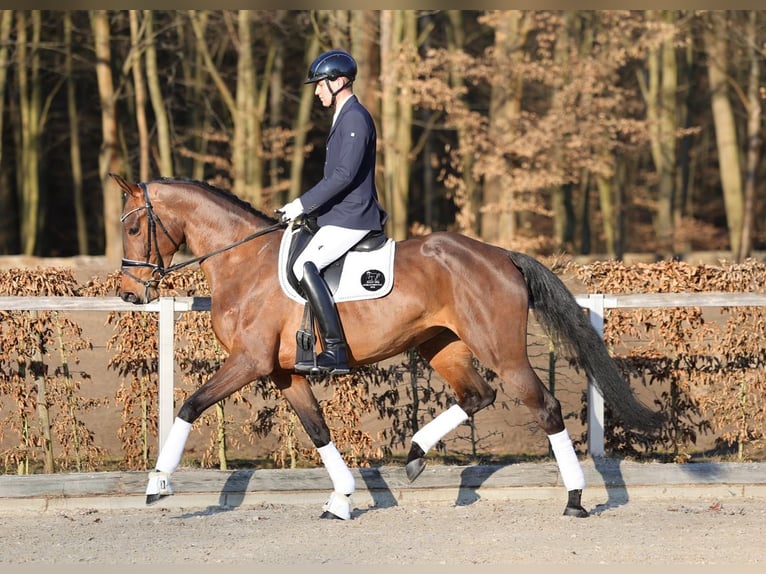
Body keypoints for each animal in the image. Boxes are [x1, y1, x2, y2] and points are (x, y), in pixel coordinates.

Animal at [112, 173, 662, 520]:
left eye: (135, 227)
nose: (129, 294)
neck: (243, 263)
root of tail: (502, 254)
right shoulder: (282, 372)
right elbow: (318, 429)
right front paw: (341, 500)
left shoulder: (247, 362)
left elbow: (190, 405)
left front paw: (157, 484)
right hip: (442, 345)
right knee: (477, 395)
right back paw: (416, 454)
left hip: (502, 351)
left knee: (543, 407)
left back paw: (574, 499)